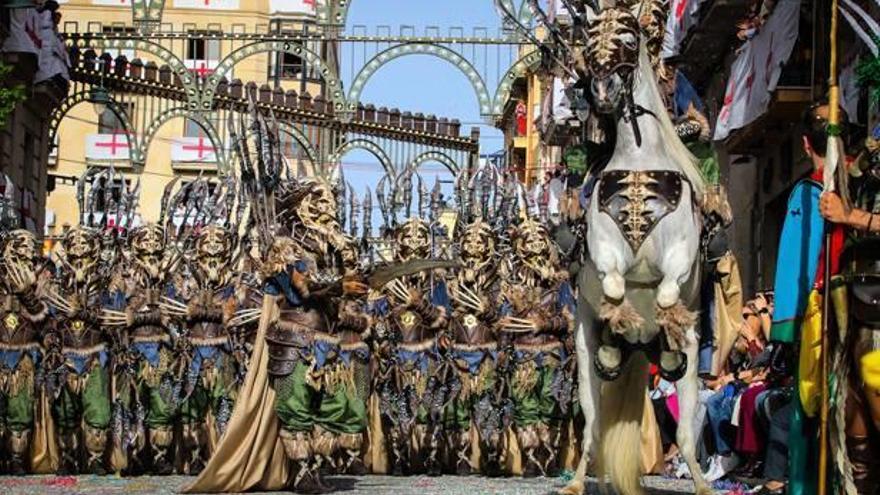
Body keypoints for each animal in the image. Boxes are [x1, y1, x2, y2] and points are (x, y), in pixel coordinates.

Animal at [560, 6, 712, 495]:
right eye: (589, 39)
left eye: (629, 37)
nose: (603, 92)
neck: (640, 161)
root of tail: (639, 354)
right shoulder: (605, 248)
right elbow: (611, 285)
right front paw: (620, 316)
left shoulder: (680, 254)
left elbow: (666, 291)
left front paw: (662, 321)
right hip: (583, 355)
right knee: (593, 424)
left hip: (692, 372)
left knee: (685, 432)